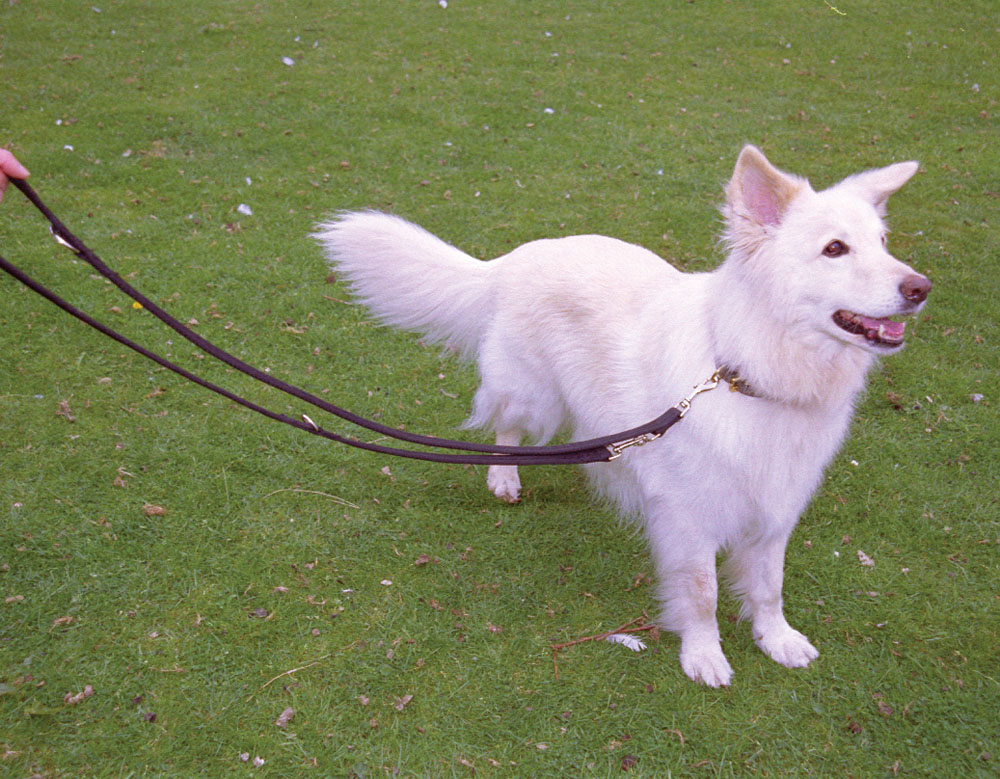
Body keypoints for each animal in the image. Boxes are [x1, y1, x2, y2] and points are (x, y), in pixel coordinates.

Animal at [313, 146, 931, 686]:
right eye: (835, 249)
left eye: (882, 243)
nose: (921, 287)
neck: (747, 371)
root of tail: (516, 258)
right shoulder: (689, 518)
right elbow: (702, 593)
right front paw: (704, 655)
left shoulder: (775, 507)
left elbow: (768, 586)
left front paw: (776, 639)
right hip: (534, 396)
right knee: (504, 424)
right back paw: (504, 476)